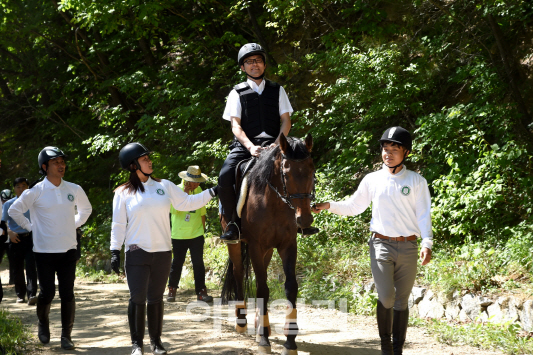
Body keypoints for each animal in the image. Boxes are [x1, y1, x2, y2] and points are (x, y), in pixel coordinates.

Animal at [221, 132, 316, 354]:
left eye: (311, 170)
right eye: (287, 173)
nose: (305, 219)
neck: (274, 202)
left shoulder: (287, 245)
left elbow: (290, 286)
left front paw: (290, 342)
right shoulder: (256, 246)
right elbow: (263, 288)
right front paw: (264, 340)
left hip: (268, 250)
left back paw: (260, 326)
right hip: (236, 243)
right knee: (238, 273)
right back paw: (242, 322)